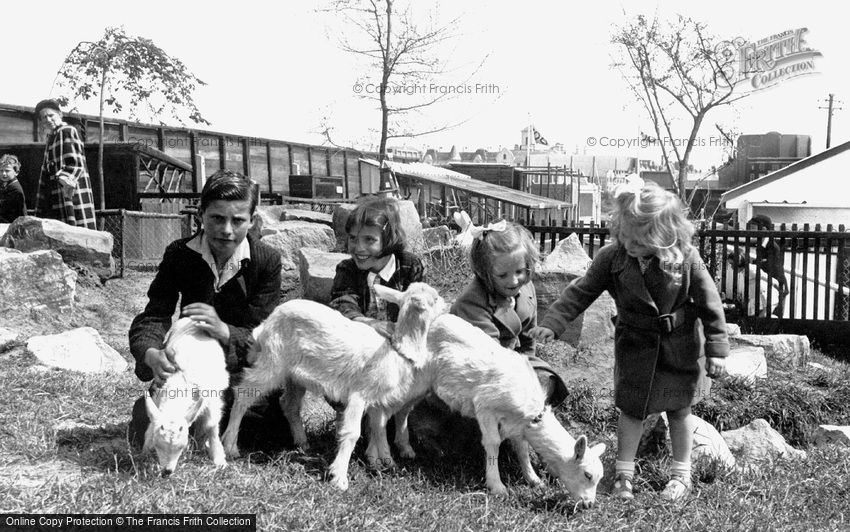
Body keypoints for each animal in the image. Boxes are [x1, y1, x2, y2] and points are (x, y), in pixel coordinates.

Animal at [142, 318, 230, 476]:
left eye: (181, 447)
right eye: (158, 445)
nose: (167, 472)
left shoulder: (213, 401)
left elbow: (212, 426)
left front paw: (219, 460)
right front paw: (145, 450)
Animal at [220, 282, 444, 490]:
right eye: (435, 299)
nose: (446, 305)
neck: (397, 351)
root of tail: (265, 324)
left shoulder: (378, 401)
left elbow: (377, 429)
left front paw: (383, 463)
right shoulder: (359, 394)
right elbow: (353, 432)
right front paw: (339, 478)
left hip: (294, 376)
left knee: (288, 404)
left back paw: (302, 443)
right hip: (273, 360)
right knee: (244, 394)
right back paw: (230, 446)